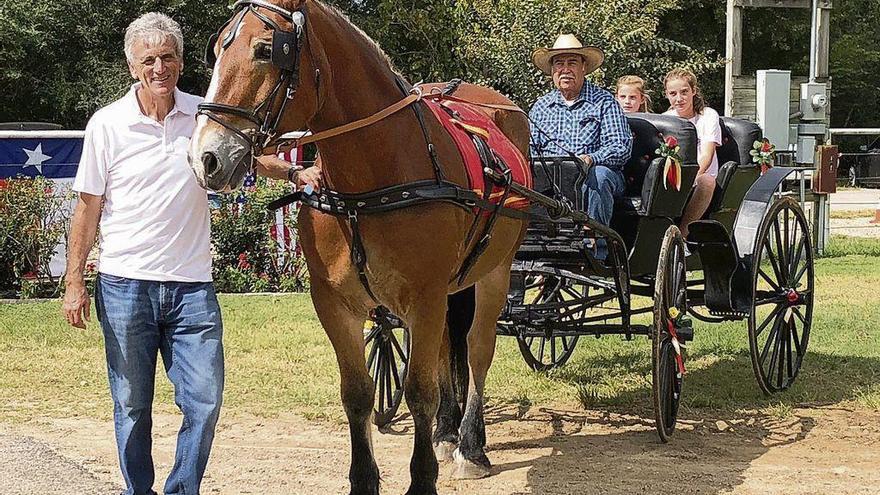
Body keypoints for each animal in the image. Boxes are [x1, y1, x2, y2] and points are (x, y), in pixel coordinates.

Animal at [187, 1, 528, 494]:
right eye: (216, 50)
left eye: (266, 49)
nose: (205, 158)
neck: (371, 180)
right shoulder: (336, 303)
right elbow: (359, 393)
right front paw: (365, 478)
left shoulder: (425, 297)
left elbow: (419, 391)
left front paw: (423, 478)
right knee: (447, 348)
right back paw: (447, 433)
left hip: (496, 272)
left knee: (477, 349)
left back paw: (470, 445)